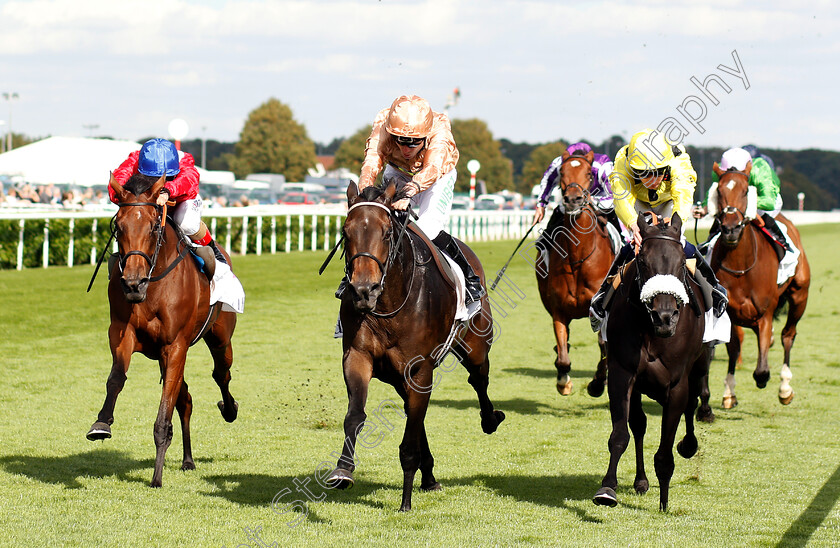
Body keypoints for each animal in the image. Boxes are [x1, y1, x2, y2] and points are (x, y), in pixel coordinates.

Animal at [87, 172, 238, 488]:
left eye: (154, 227)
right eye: (118, 227)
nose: (133, 284)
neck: (153, 286)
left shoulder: (176, 345)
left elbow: (164, 410)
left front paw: (156, 477)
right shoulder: (123, 333)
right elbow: (116, 378)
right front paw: (101, 423)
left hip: (219, 336)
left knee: (221, 373)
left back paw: (229, 409)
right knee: (186, 399)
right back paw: (188, 459)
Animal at [324, 182, 502, 512]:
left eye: (386, 233)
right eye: (345, 231)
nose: (363, 291)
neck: (389, 302)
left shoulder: (419, 369)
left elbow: (409, 442)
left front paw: (405, 502)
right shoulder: (358, 357)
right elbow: (355, 416)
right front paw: (343, 470)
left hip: (476, 345)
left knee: (478, 379)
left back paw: (490, 419)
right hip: (399, 377)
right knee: (414, 413)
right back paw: (428, 474)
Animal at [536, 150, 612, 396]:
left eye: (588, 173)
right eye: (562, 172)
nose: (573, 199)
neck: (578, 256)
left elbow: (604, 346)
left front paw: (597, 383)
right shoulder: (558, 310)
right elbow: (562, 351)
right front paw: (563, 380)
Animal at [592, 212, 712, 512]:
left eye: (680, 262)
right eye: (644, 261)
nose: (665, 317)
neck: (651, 332)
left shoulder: (677, 384)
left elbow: (665, 450)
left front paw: (664, 503)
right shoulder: (623, 374)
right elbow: (621, 434)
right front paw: (607, 489)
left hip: (700, 364)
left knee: (694, 401)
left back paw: (689, 444)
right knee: (639, 424)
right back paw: (640, 480)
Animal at [708, 165, 808, 408]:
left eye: (746, 191)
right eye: (720, 191)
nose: (731, 229)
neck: (741, 268)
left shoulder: (765, 312)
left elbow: (762, 371)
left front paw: (768, 381)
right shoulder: (730, 312)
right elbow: (734, 347)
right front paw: (729, 392)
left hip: (800, 295)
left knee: (788, 335)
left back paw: (785, 387)